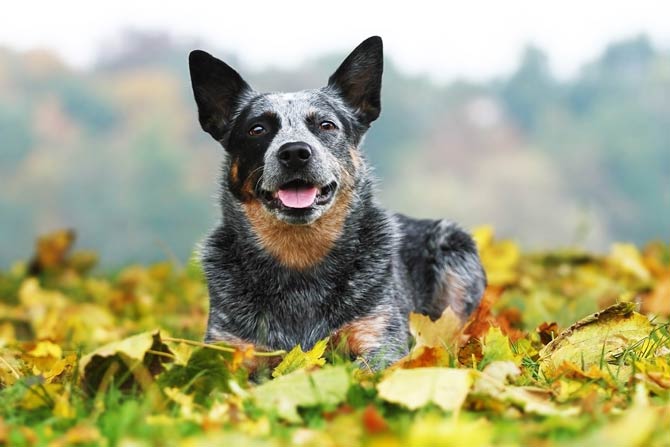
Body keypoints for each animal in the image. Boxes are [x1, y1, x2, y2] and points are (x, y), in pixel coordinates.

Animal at [189, 36, 488, 372]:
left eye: (326, 125)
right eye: (257, 129)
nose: (295, 152)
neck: (299, 260)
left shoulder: (378, 341)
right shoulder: (228, 348)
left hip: (455, 249)